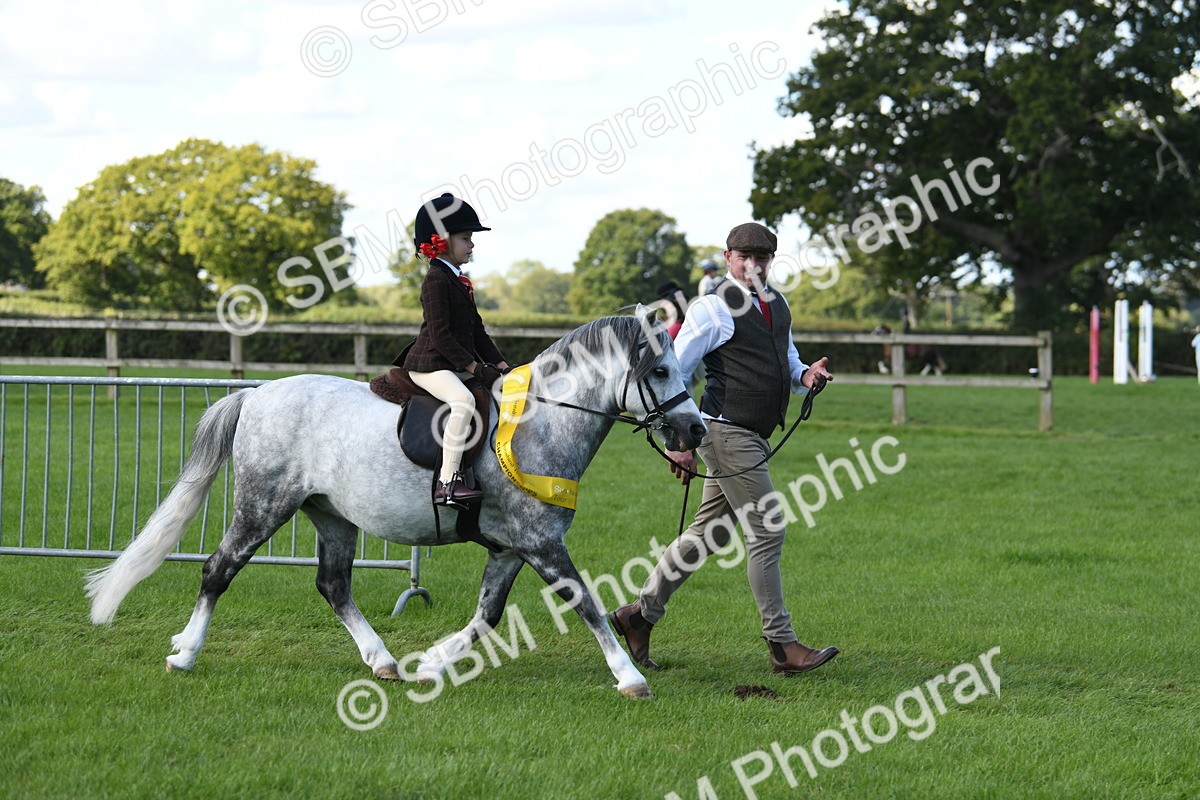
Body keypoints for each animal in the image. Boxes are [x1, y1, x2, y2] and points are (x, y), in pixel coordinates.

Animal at [85, 312, 706, 699]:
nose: (696, 430)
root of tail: (257, 394)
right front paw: (630, 678)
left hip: (331, 516)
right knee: (219, 570)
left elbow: (486, 616)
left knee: (334, 585)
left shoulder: (513, 548)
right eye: (658, 371)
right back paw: (185, 653)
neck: (542, 423)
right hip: (263, 506)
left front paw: (431, 661)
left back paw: (383, 661)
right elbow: (586, 603)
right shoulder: (541, 543)